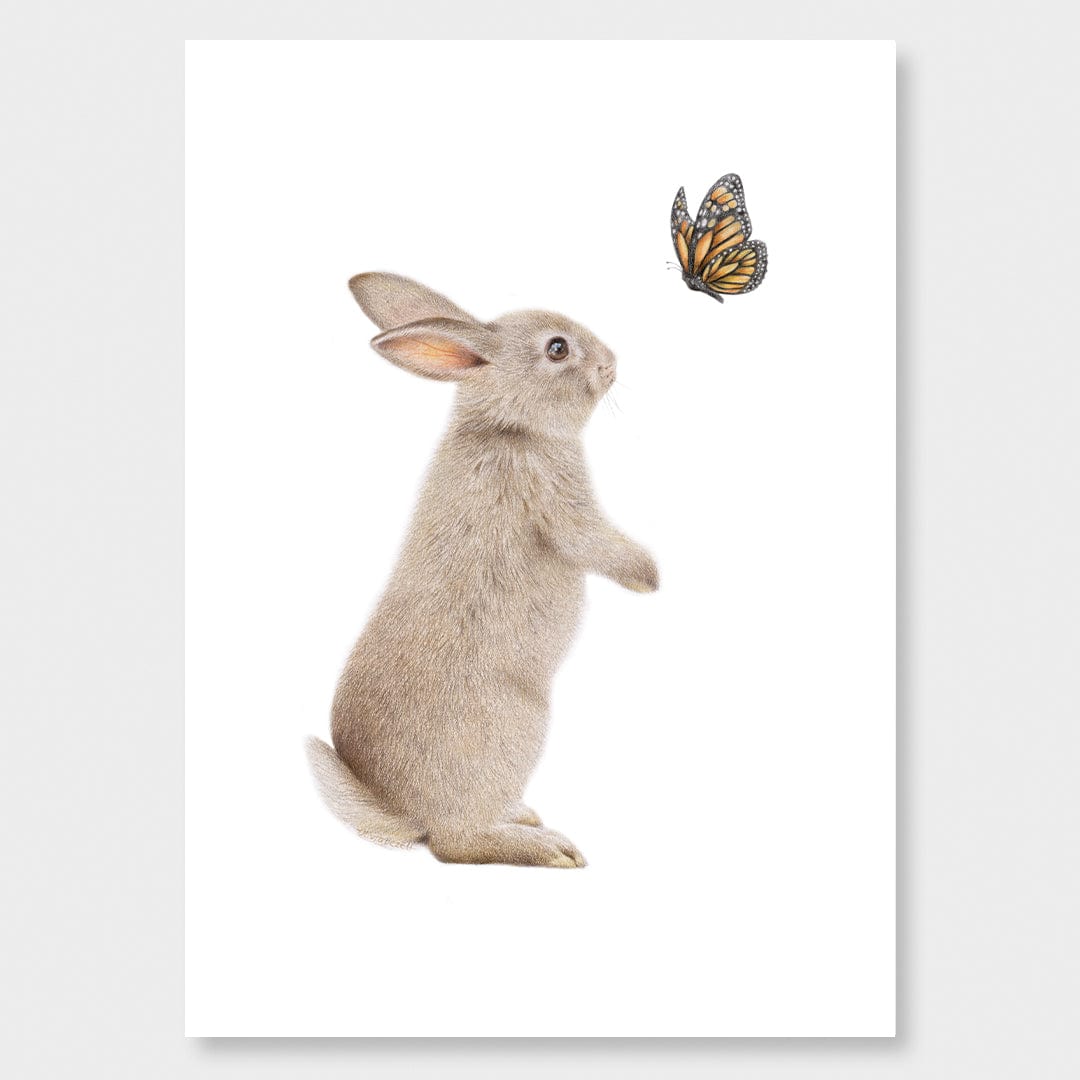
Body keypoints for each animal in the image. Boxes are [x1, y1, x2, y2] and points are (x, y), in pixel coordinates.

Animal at [306, 272, 658, 867]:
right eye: (557, 349)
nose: (612, 364)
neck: (509, 423)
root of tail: (406, 814)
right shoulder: (559, 503)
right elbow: (591, 540)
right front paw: (651, 577)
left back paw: (525, 816)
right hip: (517, 727)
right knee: (457, 843)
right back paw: (551, 849)